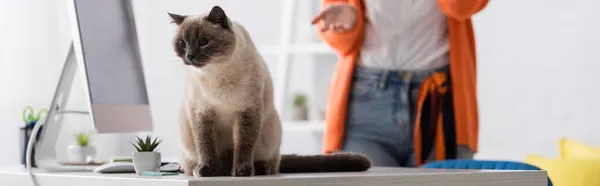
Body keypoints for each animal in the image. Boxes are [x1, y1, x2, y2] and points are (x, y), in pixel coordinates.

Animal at [169, 5, 370, 177]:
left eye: (203, 41)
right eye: (182, 43)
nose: (190, 56)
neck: (216, 73)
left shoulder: (248, 111)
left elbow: (244, 146)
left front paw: (242, 171)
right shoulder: (201, 114)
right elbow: (205, 146)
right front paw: (206, 170)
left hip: (271, 130)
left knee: (272, 163)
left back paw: (256, 169)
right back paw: (213, 170)